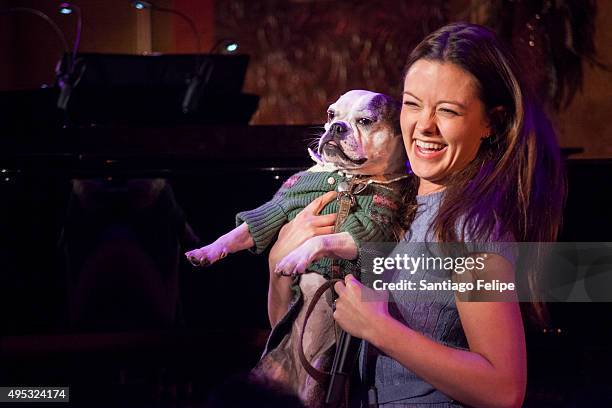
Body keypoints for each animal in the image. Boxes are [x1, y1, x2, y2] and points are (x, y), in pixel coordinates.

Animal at [184, 89, 408, 404]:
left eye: (365, 121)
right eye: (331, 114)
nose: (336, 128)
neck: (347, 182)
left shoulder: (367, 232)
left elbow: (321, 238)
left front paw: (295, 258)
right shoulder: (280, 207)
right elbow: (241, 231)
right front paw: (205, 252)